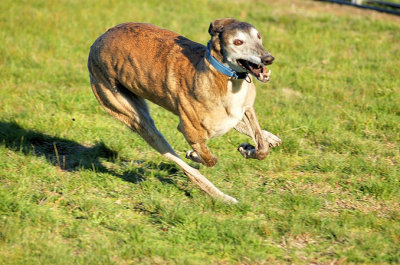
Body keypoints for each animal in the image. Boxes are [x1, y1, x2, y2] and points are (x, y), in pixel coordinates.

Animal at [87, 17, 282, 202]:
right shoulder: (190, 132)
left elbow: (262, 148)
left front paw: (250, 148)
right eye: (238, 42)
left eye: (258, 36)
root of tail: (100, 38)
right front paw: (195, 154)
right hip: (139, 122)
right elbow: (210, 159)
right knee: (188, 168)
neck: (224, 77)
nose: (268, 58)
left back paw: (267, 137)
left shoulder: (247, 108)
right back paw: (221, 196)